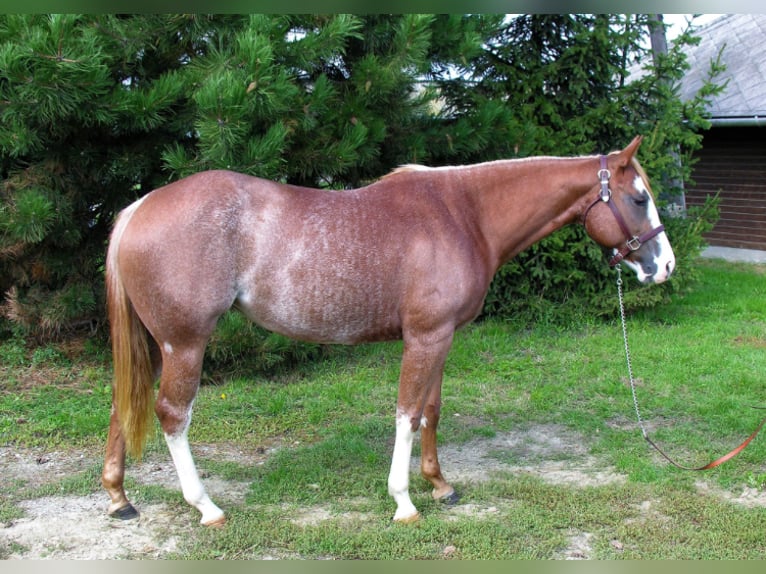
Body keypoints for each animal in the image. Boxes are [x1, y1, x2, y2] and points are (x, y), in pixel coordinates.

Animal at [102, 135, 680, 528]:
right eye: (639, 198)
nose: (666, 266)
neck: (463, 214)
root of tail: (139, 207)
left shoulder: (442, 337)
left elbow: (430, 410)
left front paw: (441, 486)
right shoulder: (424, 338)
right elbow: (406, 413)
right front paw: (403, 501)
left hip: (155, 346)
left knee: (125, 402)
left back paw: (119, 497)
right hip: (185, 345)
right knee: (171, 416)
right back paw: (206, 506)